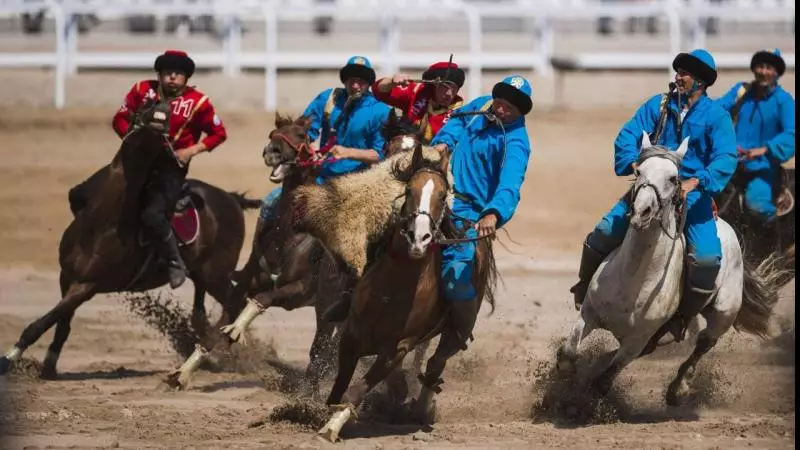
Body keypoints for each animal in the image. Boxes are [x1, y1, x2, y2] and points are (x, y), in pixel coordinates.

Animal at [0, 100, 260, 378]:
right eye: (145, 106)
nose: (160, 114)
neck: (102, 222)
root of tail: (232, 199)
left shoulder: (86, 286)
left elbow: (43, 322)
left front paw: (9, 359)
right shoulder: (67, 276)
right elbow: (61, 323)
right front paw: (48, 365)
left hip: (216, 275)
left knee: (235, 303)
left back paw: (218, 347)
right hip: (202, 274)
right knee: (203, 311)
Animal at [163, 113, 346, 394]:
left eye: (302, 135)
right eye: (273, 134)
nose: (273, 151)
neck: (288, 239)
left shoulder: (297, 292)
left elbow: (262, 298)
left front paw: (236, 330)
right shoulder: (243, 286)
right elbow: (214, 331)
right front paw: (182, 373)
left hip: (327, 305)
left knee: (323, 347)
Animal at [318, 144, 496, 442]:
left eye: (442, 196)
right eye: (410, 190)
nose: (419, 238)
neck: (393, 287)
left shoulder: (397, 348)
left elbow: (356, 390)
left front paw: (331, 427)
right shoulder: (351, 335)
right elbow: (340, 386)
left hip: (454, 334)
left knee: (435, 365)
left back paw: (421, 409)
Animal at [556, 134, 780, 404]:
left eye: (674, 178)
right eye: (638, 171)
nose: (642, 211)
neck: (633, 279)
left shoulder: (636, 341)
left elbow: (603, 380)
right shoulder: (589, 312)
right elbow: (568, 355)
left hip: (723, 313)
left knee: (704, 344)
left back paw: (678, 388)